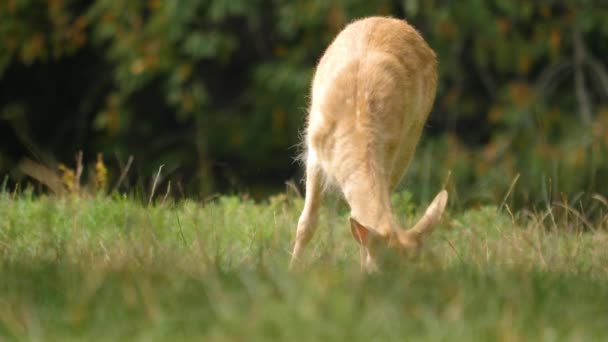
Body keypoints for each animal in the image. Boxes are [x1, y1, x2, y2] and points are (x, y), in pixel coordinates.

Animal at [292, 16, 448, 272]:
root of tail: (391, 20)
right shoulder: (313, 151)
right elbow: (307, 222)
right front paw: (292, 269)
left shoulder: (392, 151)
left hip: (411, 138)